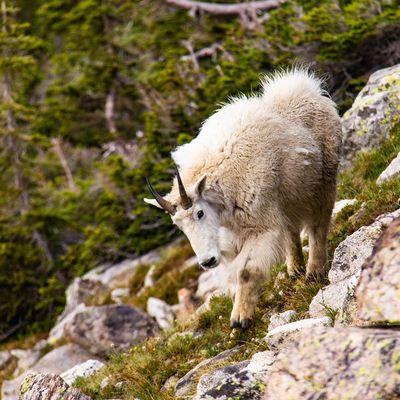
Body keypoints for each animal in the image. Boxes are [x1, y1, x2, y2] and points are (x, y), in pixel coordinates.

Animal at [145, 69, 342, 326]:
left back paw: (314, 272)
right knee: (290, 231)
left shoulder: (259, 225)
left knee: (318, 224)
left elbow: (246, 271)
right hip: (285, 200)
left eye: (199, 213)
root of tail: (310, 89)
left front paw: (239, 319)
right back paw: (294, 269)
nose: (207, 261)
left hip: (323, 180)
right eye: (178, 226)